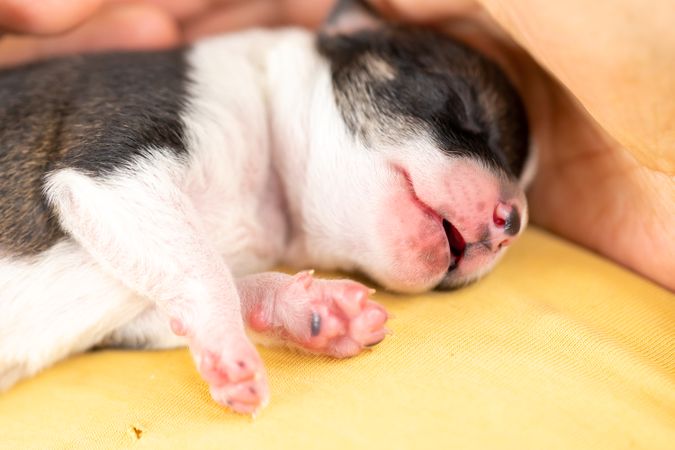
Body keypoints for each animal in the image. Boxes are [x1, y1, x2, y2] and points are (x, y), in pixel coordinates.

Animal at [0, 0, 532, 414]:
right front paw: (231, 353)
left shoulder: (118, 317)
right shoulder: (114, 176)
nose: (515, 222)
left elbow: (205, 291)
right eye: (464, 106)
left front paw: (310, 309)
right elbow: (204, 269)